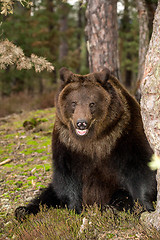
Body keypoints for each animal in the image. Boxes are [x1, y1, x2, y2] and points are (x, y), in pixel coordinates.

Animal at [15, 67, 156, 221]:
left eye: (92, 103)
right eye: (73, 102)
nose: (81, 123)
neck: (92, 139)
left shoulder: (124, 133)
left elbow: (140, 168)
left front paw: (144, 207)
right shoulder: (66, 143)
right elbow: (66, 178)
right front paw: (75, 209)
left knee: (120, 195)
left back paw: (110, 209)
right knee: (47, 195)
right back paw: (23, 210)